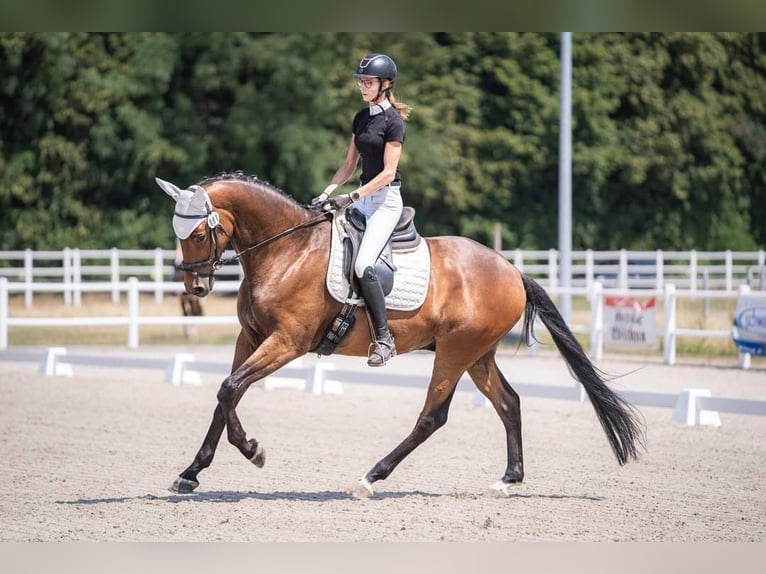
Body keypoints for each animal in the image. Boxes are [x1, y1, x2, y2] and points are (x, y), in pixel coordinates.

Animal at [159, 172, 644, 500]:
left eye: (198, 232)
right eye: (177, 233)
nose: (196, 288)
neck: (286, 251)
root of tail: (511, 270)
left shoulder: (287, 343)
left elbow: (230, 389)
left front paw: (252, 451)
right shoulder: (251, 337)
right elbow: (226, 395)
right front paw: (192, 472)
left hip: (454, 352)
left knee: (433, 417)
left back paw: (370, 478)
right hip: (478, 354)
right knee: (508, 403)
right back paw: (508, 480)